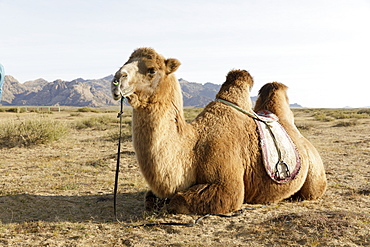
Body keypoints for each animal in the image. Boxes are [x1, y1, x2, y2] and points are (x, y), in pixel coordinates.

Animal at [110, 47, 326, 214]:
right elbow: (150, 198)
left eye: (152, 70)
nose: (117, 79)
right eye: (126, 62)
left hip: (315, 175)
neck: (192, 149)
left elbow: (179, 200)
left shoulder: (228, 187)